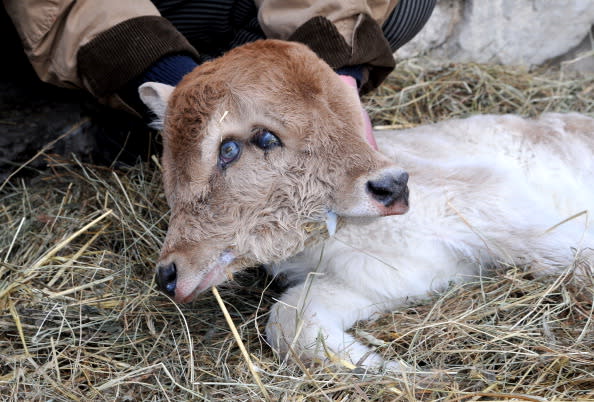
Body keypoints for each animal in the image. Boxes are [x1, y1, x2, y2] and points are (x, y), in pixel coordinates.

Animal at [140, 40, 592, 370]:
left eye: (235, 146)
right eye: (169, 155)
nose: (168, 274)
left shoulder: (496, 197)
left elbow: (578, 257)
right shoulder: (379, 279)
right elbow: (289, 321)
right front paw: (398, 370)